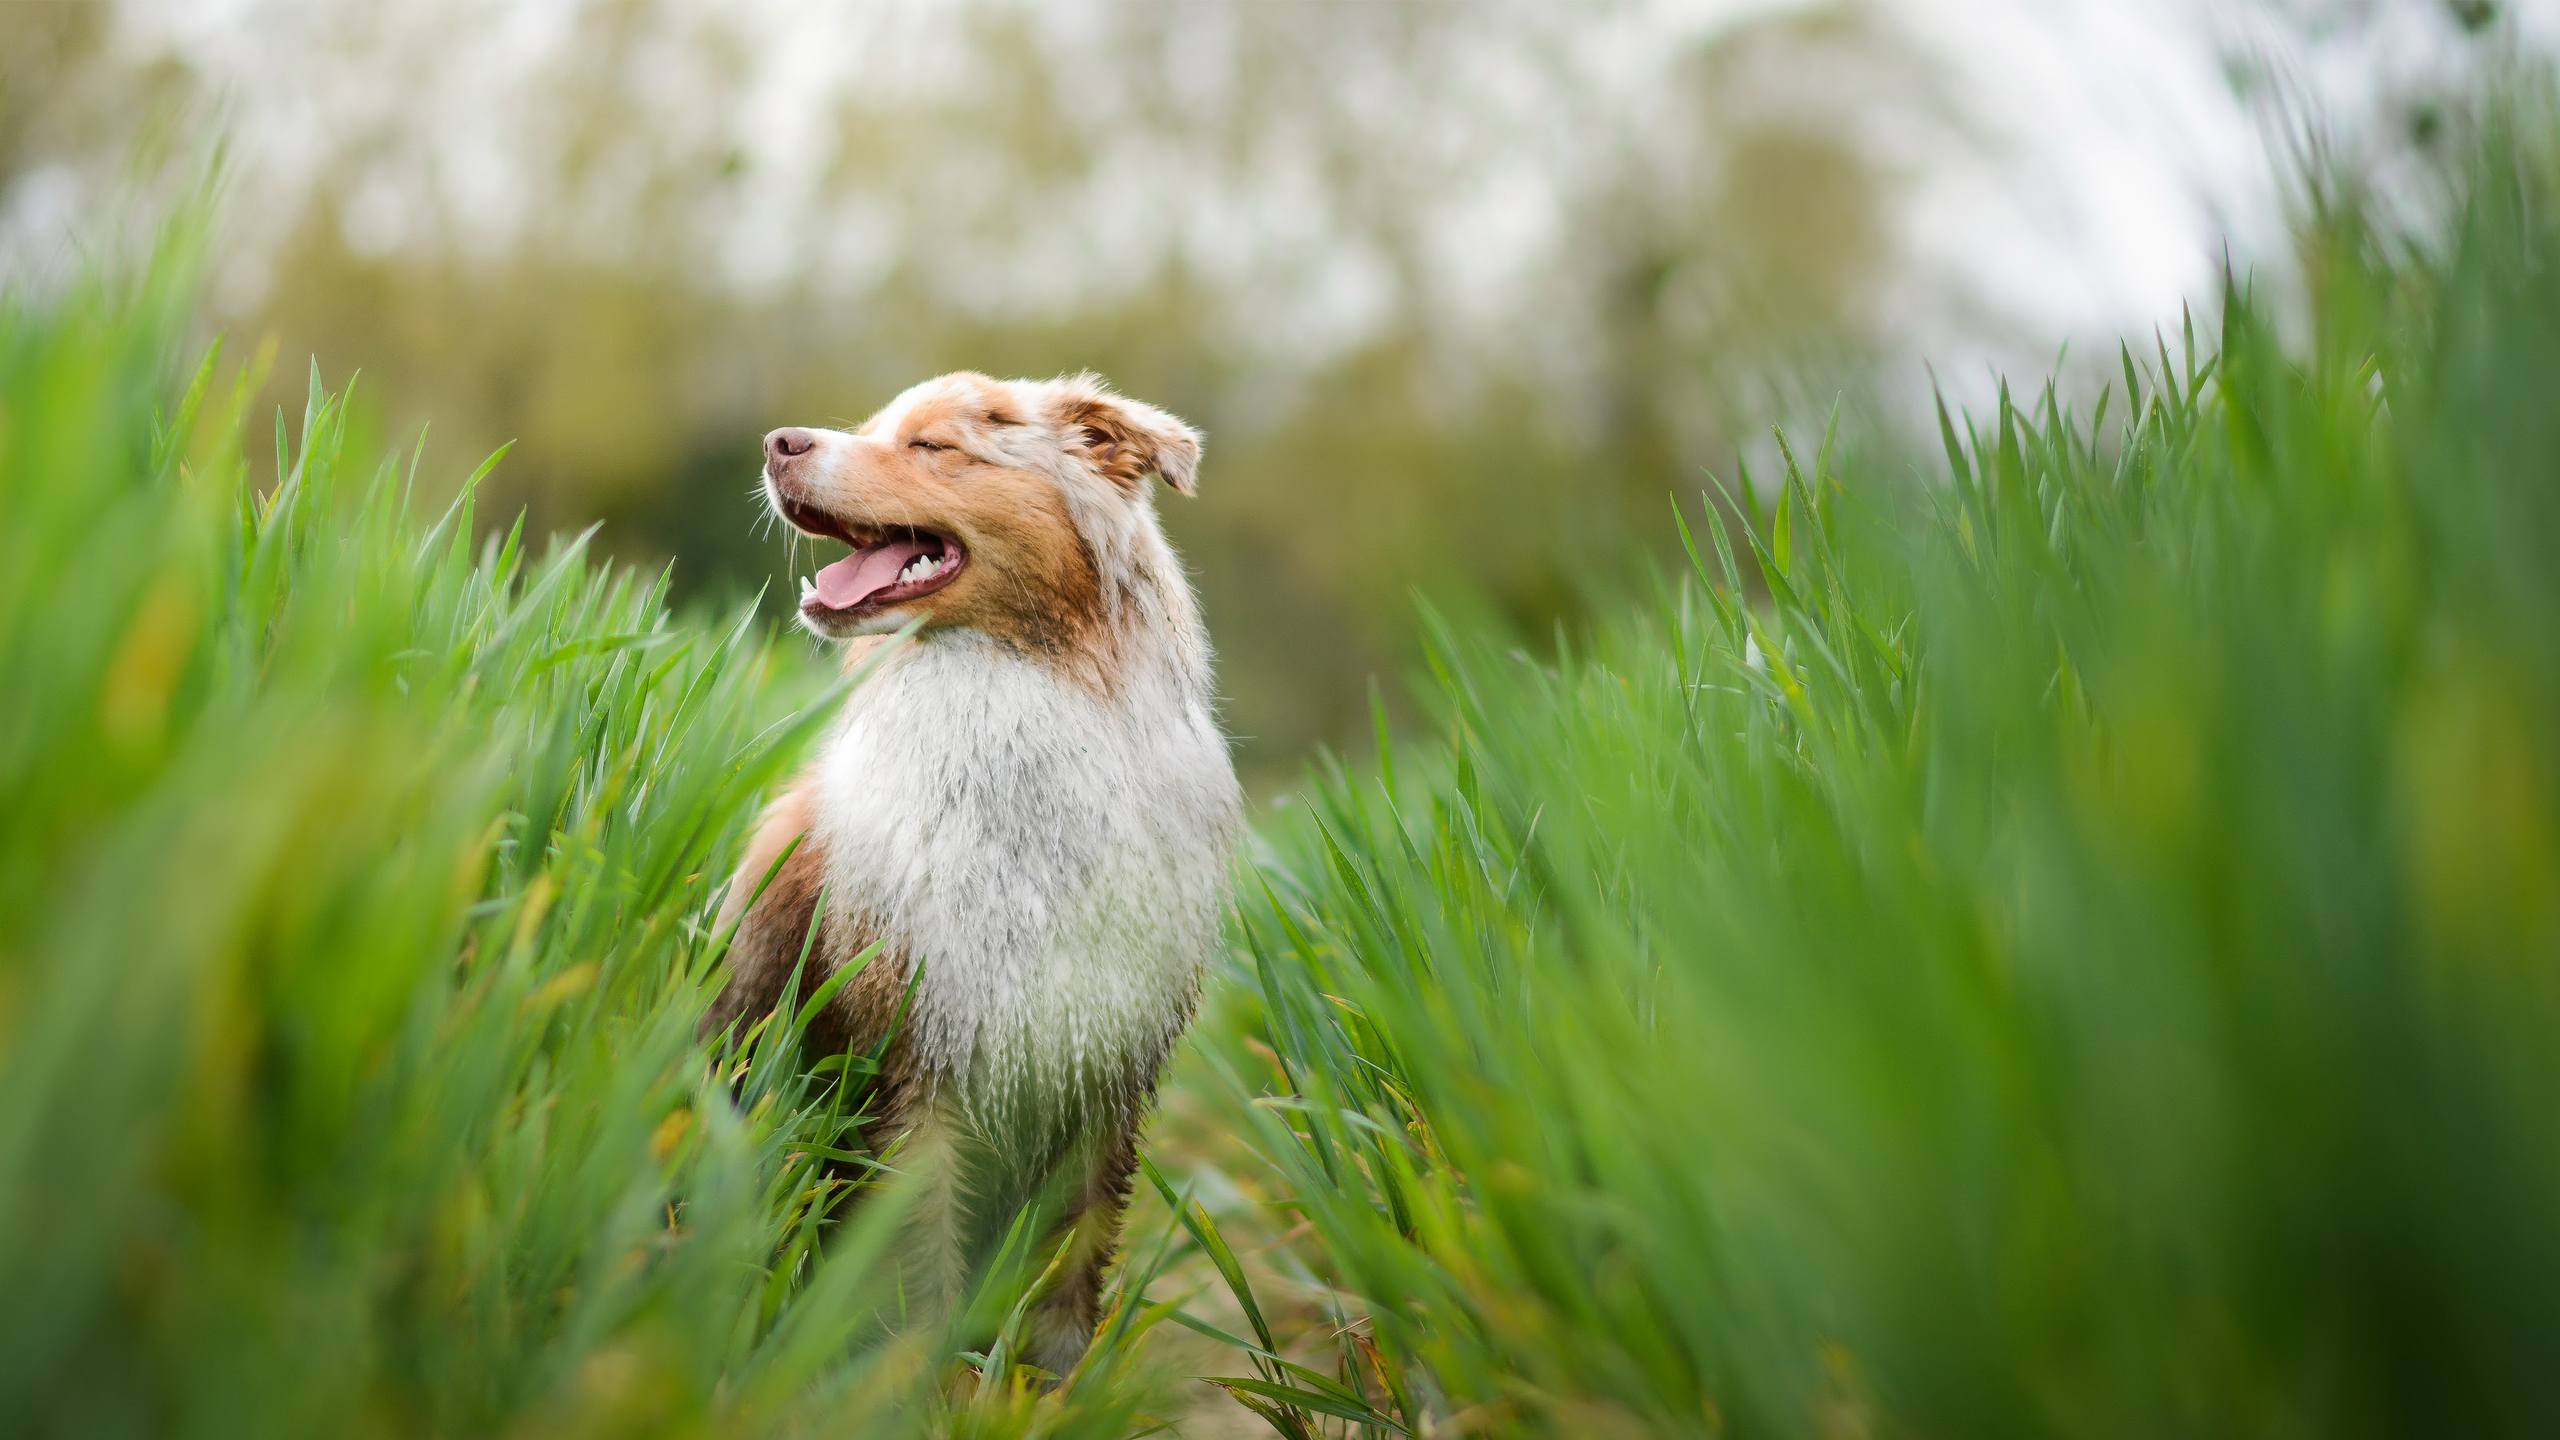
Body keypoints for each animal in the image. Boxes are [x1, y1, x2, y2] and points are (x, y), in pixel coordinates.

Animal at [711, 366, 1239, 1363]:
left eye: (933, 446)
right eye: (875, 426)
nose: (776, 444)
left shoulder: (1106, 1069)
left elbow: (1065, 1287)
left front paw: (1050, 1384)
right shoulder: (915, 1060)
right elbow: (918, 1280)